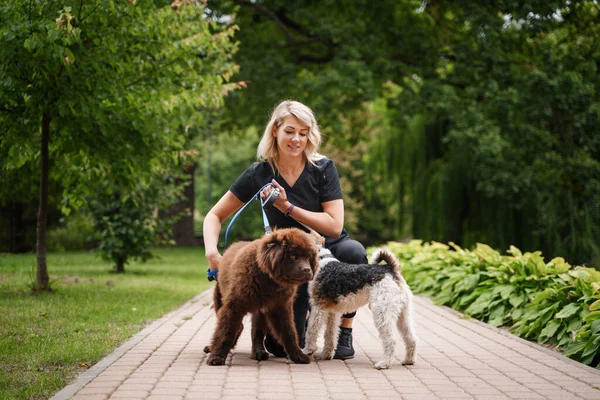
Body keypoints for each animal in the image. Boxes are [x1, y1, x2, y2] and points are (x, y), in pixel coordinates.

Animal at [204, 228, 318, 366]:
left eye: (308, 257)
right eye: (293, 256)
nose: (307, 270)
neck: (268, 279)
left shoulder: (280, 308)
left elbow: (289, 333)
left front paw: (298, 356)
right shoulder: (233, 306)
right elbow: (226, 331)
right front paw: (217, 357)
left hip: (261, 309)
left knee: (256, 332)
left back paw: (258, 353)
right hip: (220, 299)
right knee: (236, 326)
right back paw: (213, 348)